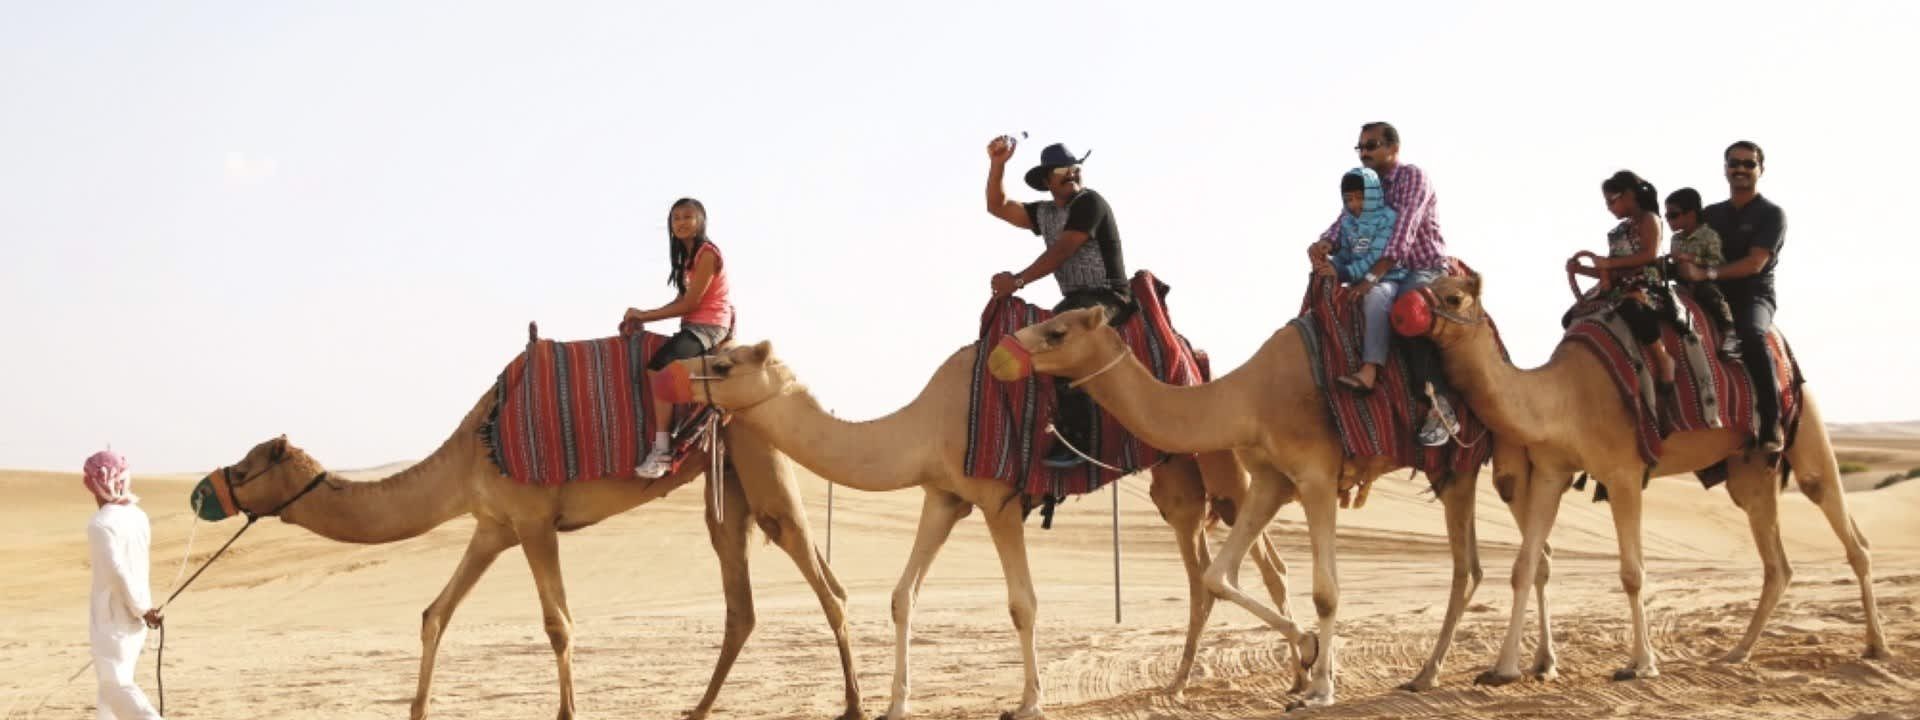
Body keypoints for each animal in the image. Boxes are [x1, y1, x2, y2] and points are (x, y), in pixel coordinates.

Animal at [189, 389, 864, 720]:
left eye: (245, 468)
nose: (200, 491)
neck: (465, 456)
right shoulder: (494, 527)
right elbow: (436, 613)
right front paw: (416, 710)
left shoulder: (536, 520)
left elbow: (558, 624)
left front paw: (568, 713)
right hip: (728, 480)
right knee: (743, 601)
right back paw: (696, 710)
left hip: (760, 456)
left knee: (824, 582)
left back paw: (855, 707)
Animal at [671, 341, 1298, 719]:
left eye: (723, 365)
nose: (676, 380)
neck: (923, 423)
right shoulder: (944, 498)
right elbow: (902, 596)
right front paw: (895, 704)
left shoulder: (998, 502)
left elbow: (1023, 603)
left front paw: (1028, 702)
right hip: (1181, 483)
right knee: (1203, 575)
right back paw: (1181, 684)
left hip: (1227, 464)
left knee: (1268, 565)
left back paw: (1299, 672)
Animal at [991, 305, 1549, 708]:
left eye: (1057, 331)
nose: (1000, 354)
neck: (1247, 399)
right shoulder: (1268, 481)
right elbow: (1218, 575)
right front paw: (1307, 650)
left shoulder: (1317, 476)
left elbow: (1325, 590)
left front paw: (1320, 687)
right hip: (1455, 470)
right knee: (1498, 562)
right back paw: (1469, 670)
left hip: (1481, 461)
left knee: (1483, 564)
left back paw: (1480, 669)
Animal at [1395, 273, 1889, 684]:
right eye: (1428, 283)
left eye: (1453, 296)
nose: (1401, 310)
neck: (1562, 396)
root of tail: (1782, 347)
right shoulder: (1553, 472)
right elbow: (1525, 566)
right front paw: (1503, 669)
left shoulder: (1623, 473)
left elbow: (1632, 573)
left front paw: (1642, 665)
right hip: (1749, 469)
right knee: (1777, 562)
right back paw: (1737, 653)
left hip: (1805, 426)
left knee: (1848, 531)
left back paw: (1876, 646)